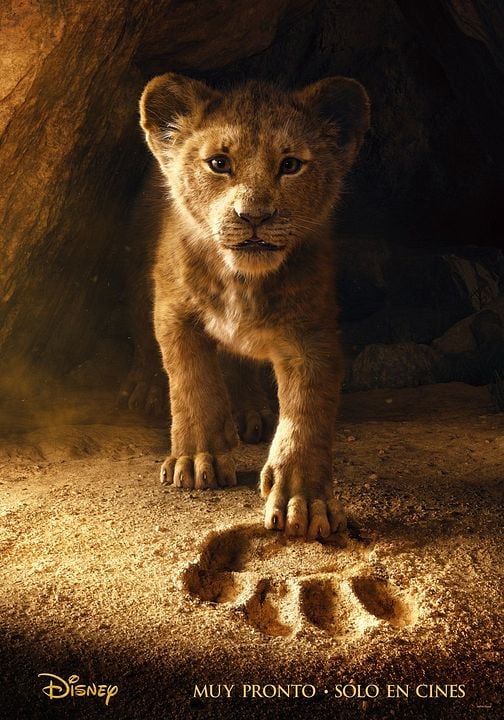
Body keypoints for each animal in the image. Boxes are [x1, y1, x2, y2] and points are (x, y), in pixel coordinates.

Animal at [134, 72, 370, 539]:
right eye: (219, 163)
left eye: (291, 165)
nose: (254, 216)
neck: (242, 280)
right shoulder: (173, 311)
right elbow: (192, 382)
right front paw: (197, 459)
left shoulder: (311, 335)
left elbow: (306, 414)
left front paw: (303, 499)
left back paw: (249, 413)